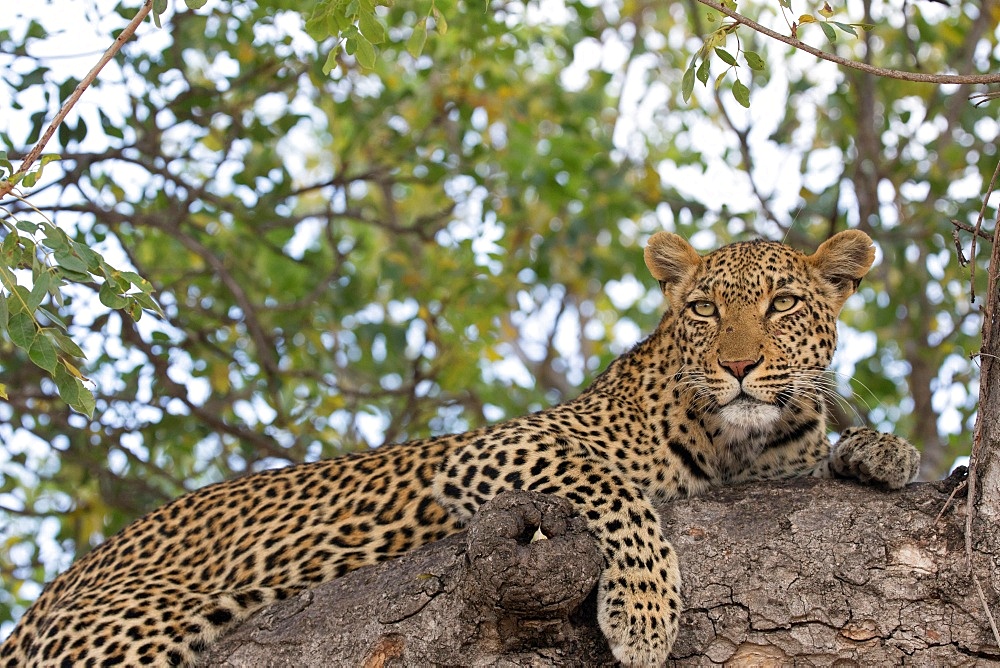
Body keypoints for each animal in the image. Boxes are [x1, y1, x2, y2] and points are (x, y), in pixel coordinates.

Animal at [1, 228, 920, 664]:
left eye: (782, 305)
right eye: (703, 310)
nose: (737, 366)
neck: (738, 448)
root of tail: (53, 593)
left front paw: (882, 451)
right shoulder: (499, 450)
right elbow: (618, 494)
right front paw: (645, 613)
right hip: (125, 634)